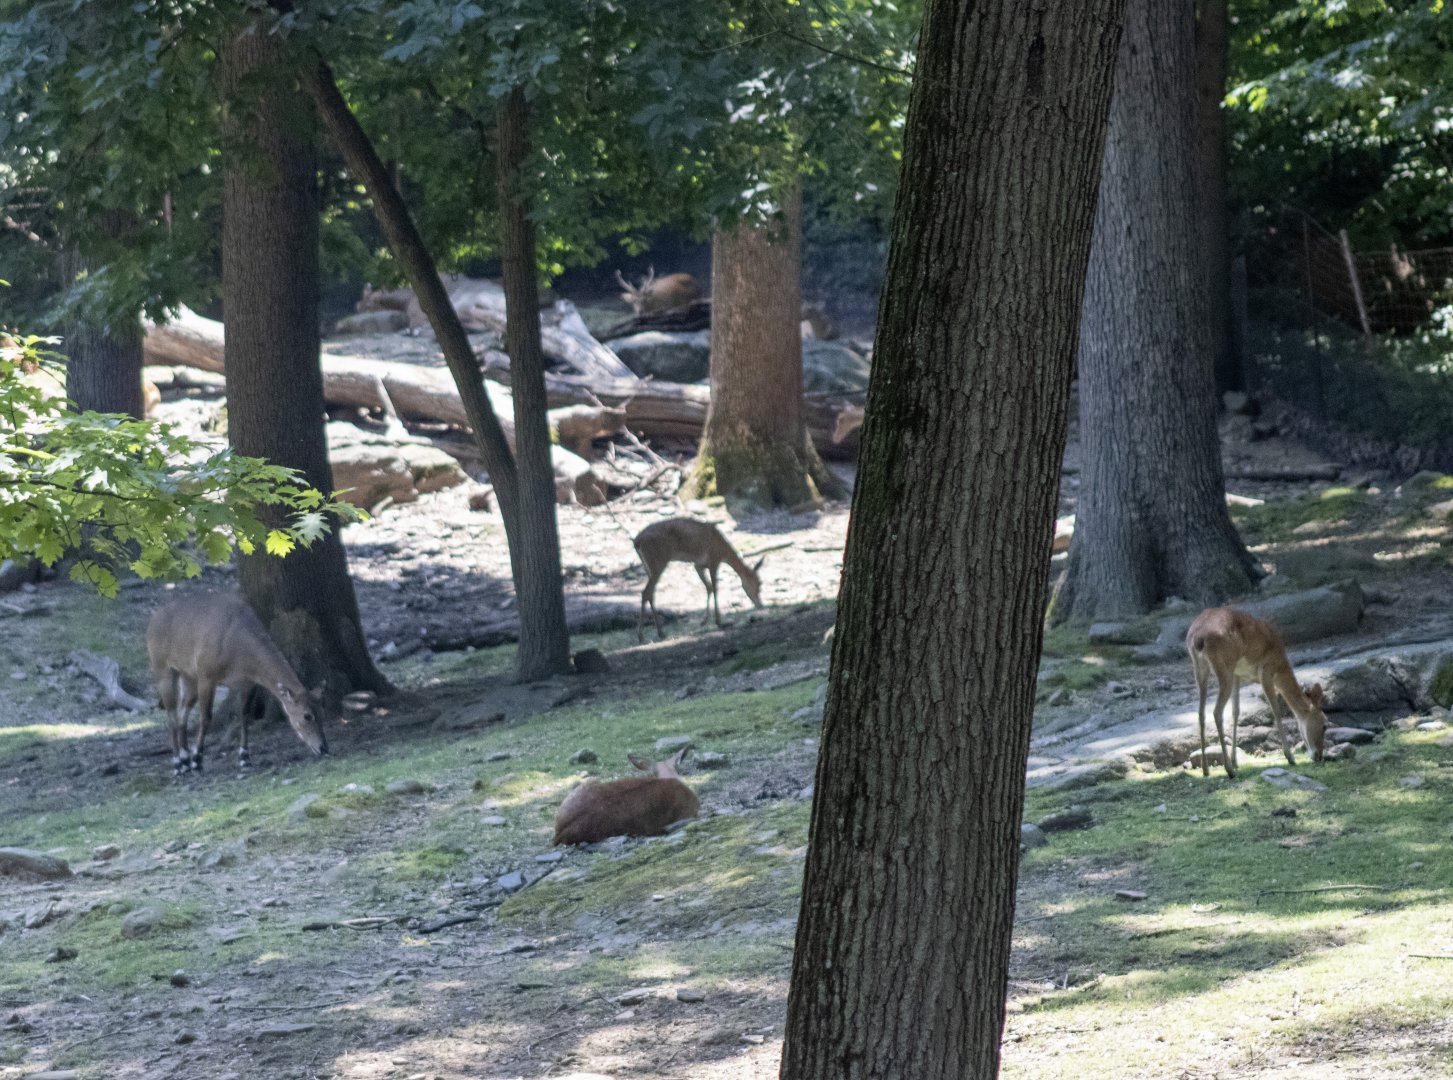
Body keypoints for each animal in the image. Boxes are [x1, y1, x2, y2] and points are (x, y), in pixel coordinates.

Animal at [147, 594, 328, 775]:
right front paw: (197, 761)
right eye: (307, 715)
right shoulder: (207, 675)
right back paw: (178, 764)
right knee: (171, 715)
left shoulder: (247, 682)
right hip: (162, 668)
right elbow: (206, 718)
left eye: (321, 711)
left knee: (182, 711)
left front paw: (244, 758)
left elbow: (244, 715)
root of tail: (153, 620)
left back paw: (184, 758)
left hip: (188, 675)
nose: (323, 748)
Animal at [633, 518, 765, 642]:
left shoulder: (698, 565)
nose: (761, 605)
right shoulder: (713, 560)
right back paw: (642, 635)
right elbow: (715, 588)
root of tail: (637, 542)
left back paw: (660, 633)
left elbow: (709, 587)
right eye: (759, 584)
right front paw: (719, 621)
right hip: (658, 562)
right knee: (645, 592)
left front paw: (704, 621)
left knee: (650, 593)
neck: (723, 551)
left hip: (648, 567)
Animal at [1186, 607, 1328, 779]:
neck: (1280, 664)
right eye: (1324, 725)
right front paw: (1290, 757)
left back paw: (1206, 769)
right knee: (1216, 712)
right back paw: (1229, 770)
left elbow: (1236, 711)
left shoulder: (1237, 674)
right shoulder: (1265, 670)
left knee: (1201, 713)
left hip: (1201, 669)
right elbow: (1276, 710)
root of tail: (1197, 638)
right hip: (1224, 667)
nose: (1319, 756)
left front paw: (1236, 761)